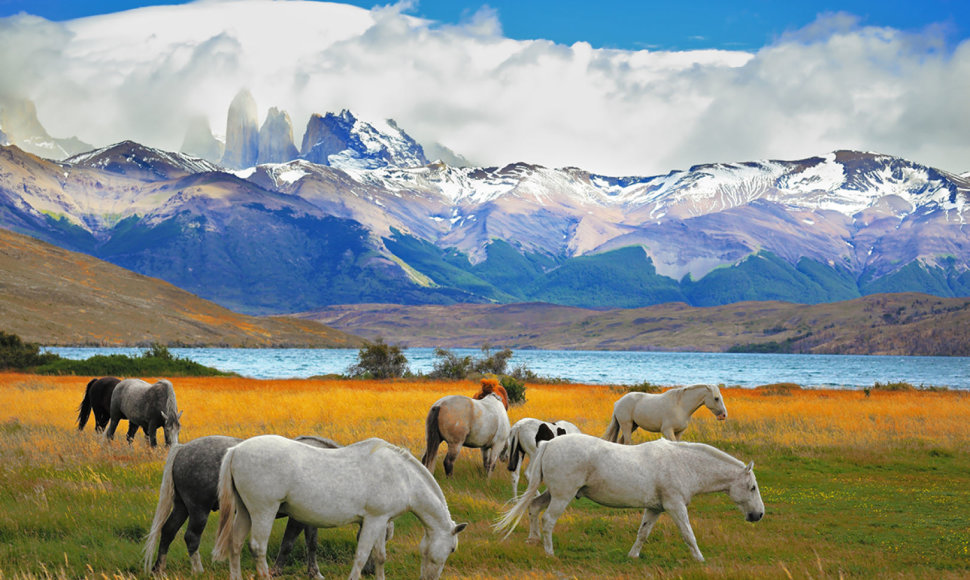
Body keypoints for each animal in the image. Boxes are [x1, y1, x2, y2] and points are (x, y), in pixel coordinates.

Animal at [144, 436, 386, 576]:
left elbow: (312, 544)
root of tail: (183, 449)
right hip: (198, 509)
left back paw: (158, 569)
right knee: (191, 537)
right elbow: (288, 544)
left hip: (182, 506)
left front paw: (314, 573)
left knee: (168, 531)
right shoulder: (298, 518)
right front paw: (276, 571)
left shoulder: (313, 517)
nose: (369, 571)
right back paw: (198, 570)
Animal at [213, 436, 468, 580]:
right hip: (263, 512)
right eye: (452, 549)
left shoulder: (380, 521)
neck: (403, 476)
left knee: (235, 545)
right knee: (258, 548)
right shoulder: (373, 521)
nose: (430, 578)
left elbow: (379, 557)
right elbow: (362, 556)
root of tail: (236, 451)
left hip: (245, 512)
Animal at [496, 436, 760, 560]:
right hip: (563, 495)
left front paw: (633, 556)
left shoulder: (655, 509)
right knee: (548, 520)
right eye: (753, 487)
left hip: (553, 493)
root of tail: (549, 443)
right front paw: (700, 559)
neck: (683, 463)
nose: (758, 514)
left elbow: (643, 533)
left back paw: (533, 540)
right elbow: (688, 534)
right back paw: (550, 552)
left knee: (533, 507)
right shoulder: (675, 506)